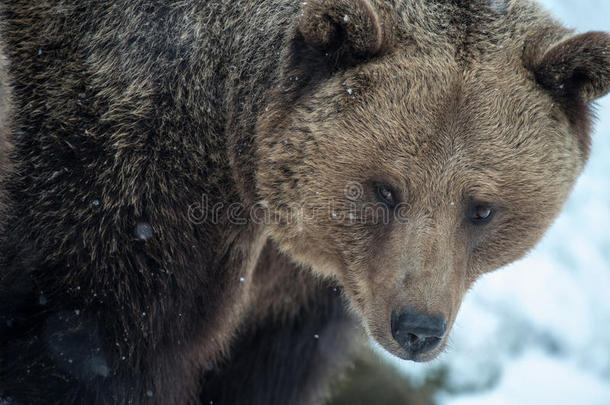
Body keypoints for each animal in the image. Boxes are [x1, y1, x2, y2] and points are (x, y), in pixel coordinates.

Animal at [0, 0, 604, 402]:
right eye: (386, 189)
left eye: (480, 208)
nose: (417, 328)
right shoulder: (120, 196)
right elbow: (83, 354)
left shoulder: (299, 303)